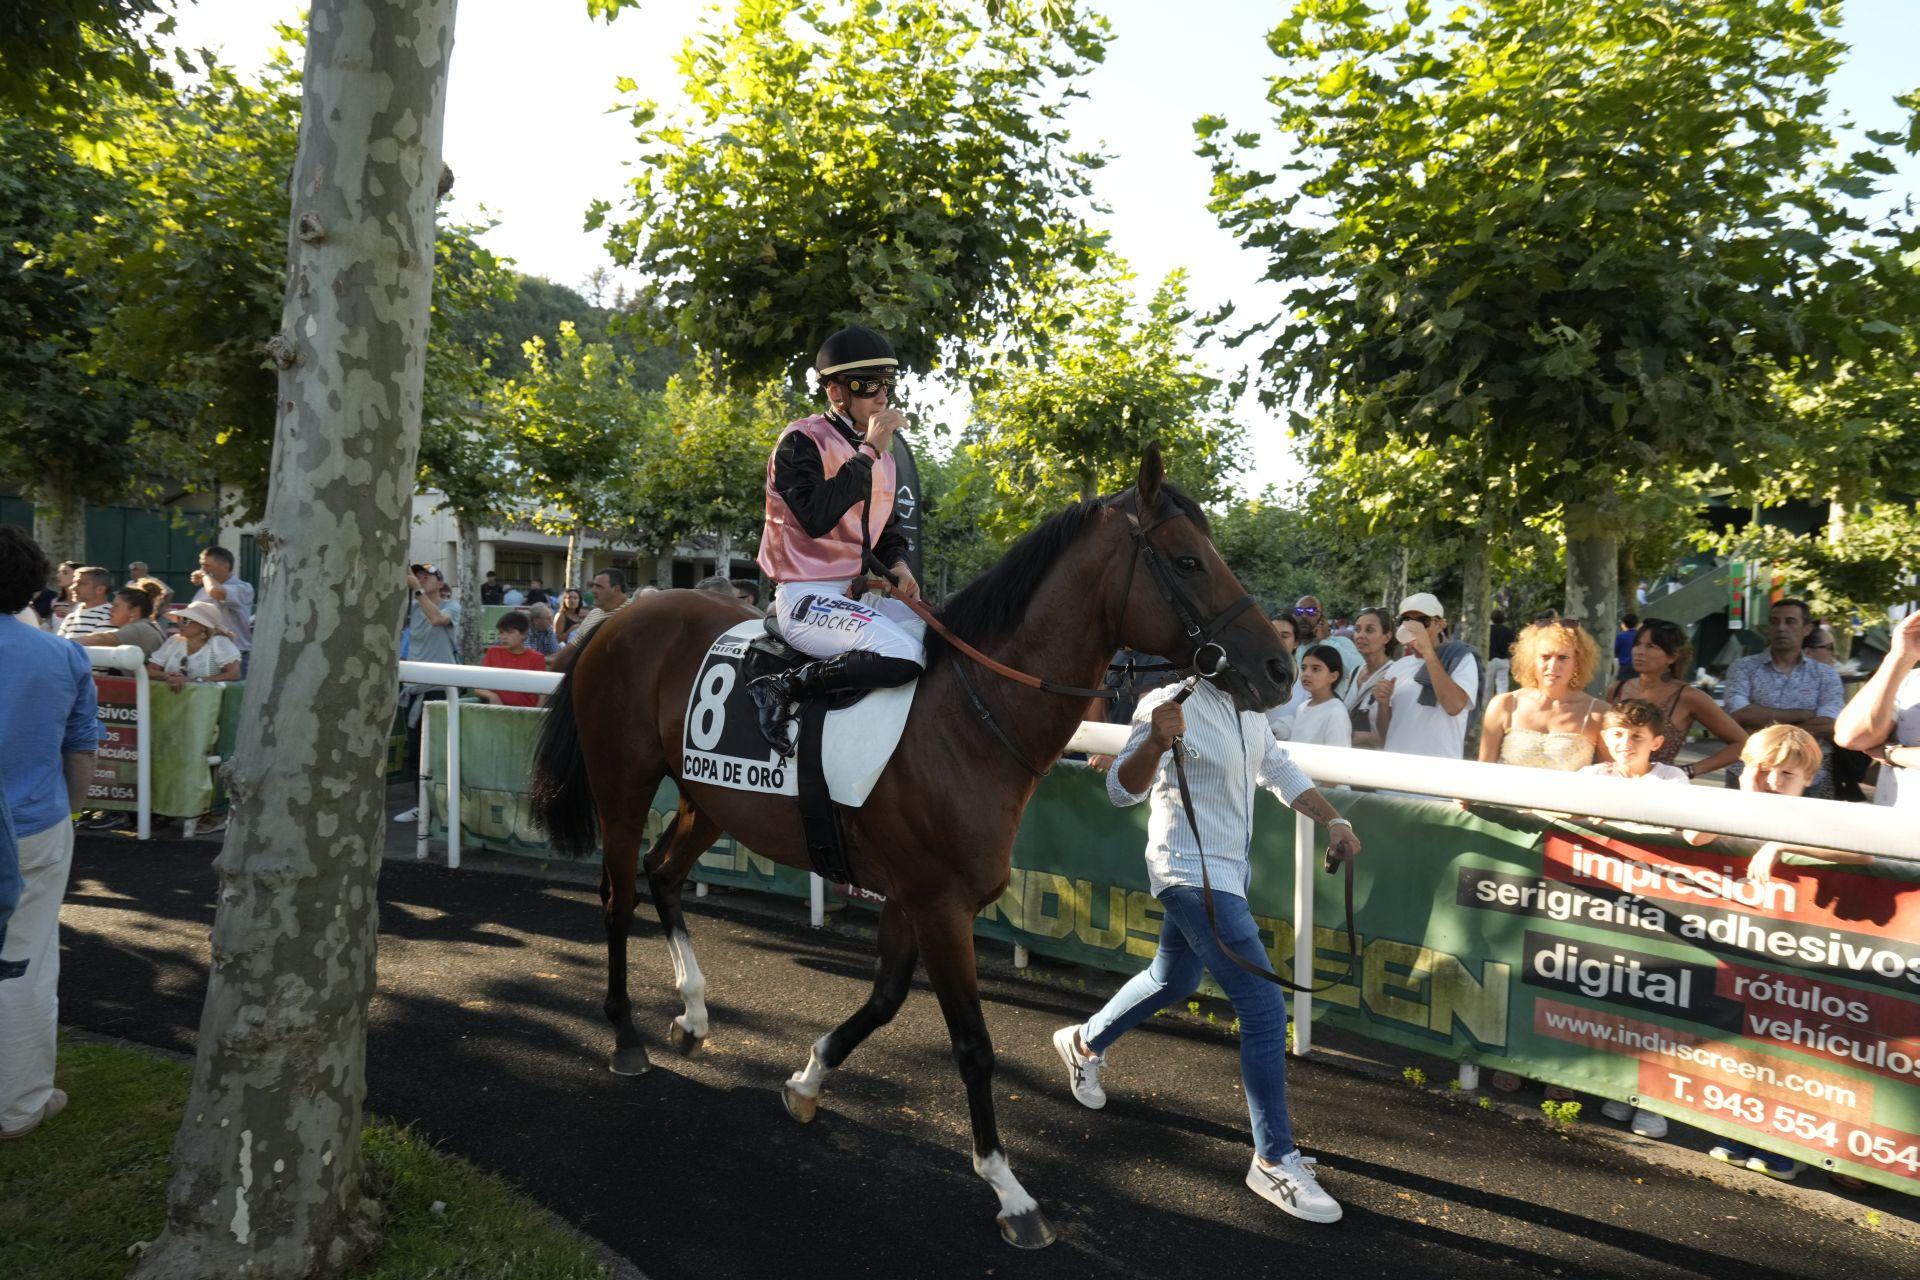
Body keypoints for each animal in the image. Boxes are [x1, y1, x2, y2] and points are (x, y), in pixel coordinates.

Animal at [533, 445, 1297, 1243]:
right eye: (1187, 560)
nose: (1279, 669)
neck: (968, 716)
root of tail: (619, 617)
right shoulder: (941, 906)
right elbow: (972, 1045)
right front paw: (1009, 1189)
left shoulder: (909, 897)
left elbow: (885, 999)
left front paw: (807, 1079)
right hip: (623, 785)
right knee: (618, 895)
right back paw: (626, 1035)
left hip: (709, 795)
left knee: (663, 874)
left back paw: (692, 1011)